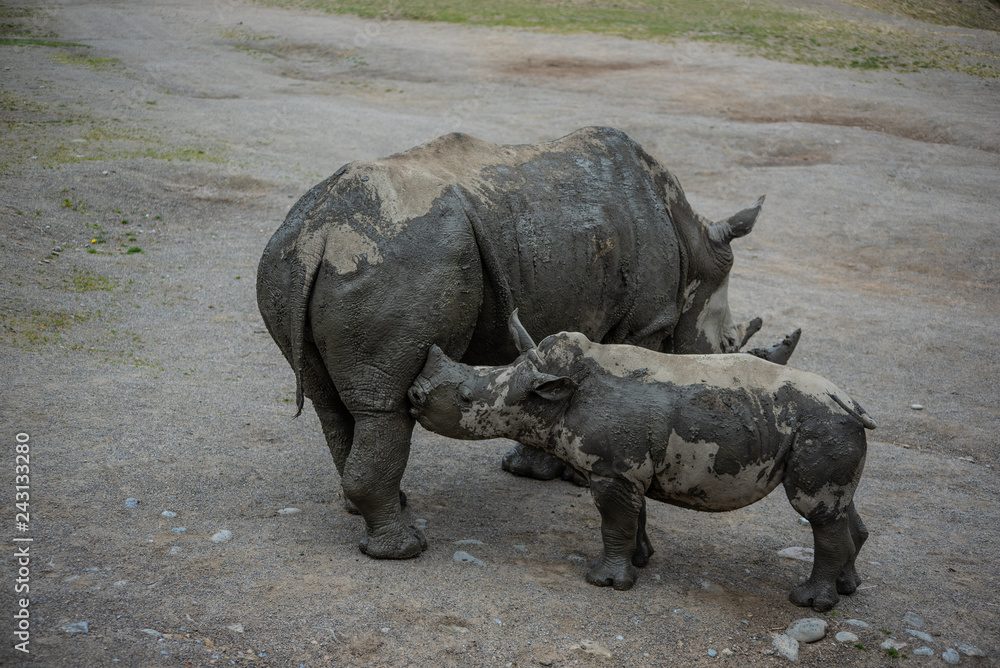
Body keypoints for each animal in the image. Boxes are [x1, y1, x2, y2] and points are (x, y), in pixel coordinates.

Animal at [257, 126, 798, 559]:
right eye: (730, 342)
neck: (694, 247)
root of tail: (321, 235)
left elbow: (554, 381)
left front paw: (531, 469)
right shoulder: (645, 322)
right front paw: (576, 477)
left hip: (284, 260)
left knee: (332, 404)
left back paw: (371, 509)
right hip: (395, 264)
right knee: (384, 406)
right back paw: (405, 549)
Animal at [408, 311, 875, 611]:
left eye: (465, 399)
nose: (412, 395)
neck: (552, 399)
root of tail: (849, 401)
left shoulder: (612, 469)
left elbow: (614, 522)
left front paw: (605, 582)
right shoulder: (627, 467)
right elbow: (635, 517)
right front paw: (639, 561)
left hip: (821, 423)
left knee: (813, 508)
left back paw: (809, 603)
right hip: (831, 425)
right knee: (837, 506)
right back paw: (848, 589)